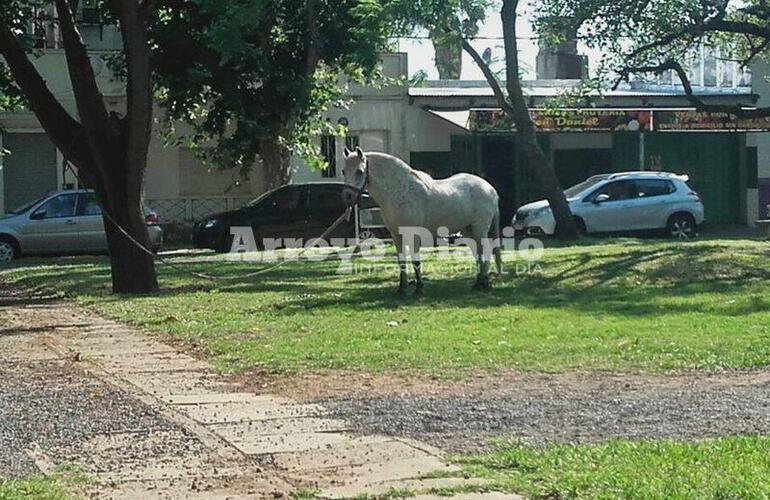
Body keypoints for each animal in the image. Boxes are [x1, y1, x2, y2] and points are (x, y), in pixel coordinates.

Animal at [340, 146, 498, 292]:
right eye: (343, 171)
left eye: (360, 171)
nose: (347, 197)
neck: (400, 191)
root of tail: (490, 189)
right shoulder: (396, 235)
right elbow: (401, 261)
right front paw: (402, 289)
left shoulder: (412, 234)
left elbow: (416, 260)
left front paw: (419, 288)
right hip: (468, 231)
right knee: (478, 253)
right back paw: (479, 283)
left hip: (479, 230)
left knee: (485, 251)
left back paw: (483, 283)